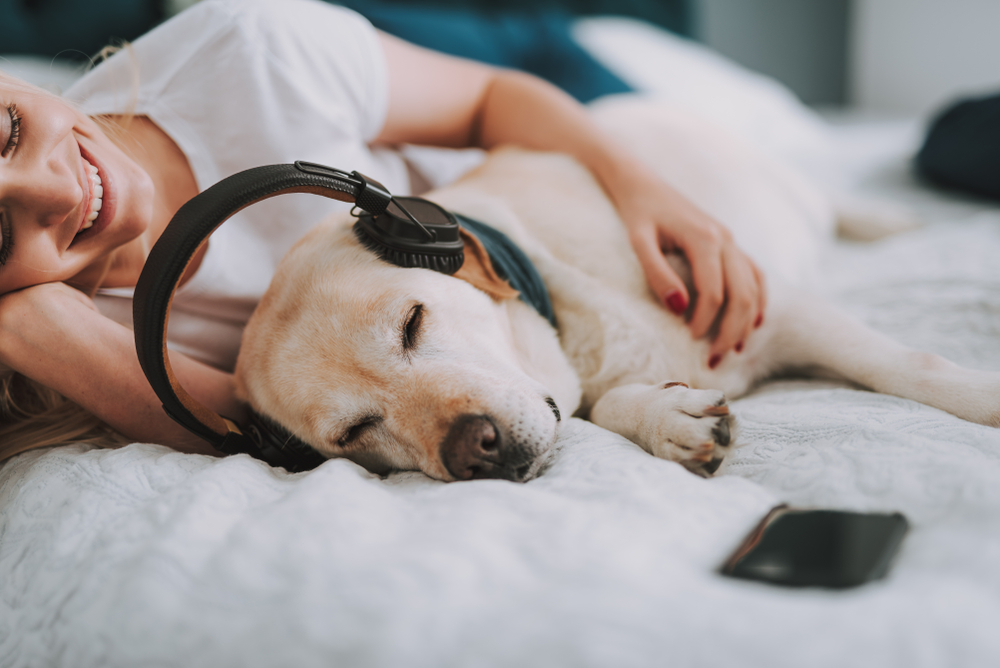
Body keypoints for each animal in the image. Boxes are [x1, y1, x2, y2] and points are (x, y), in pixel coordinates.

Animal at [232, 98, 1000, 480]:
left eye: (412, 322)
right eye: (354, 430)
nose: (473, 449)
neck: (570, 327)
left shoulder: (777, 309)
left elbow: (910, 366)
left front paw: (984, 399)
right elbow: (608, 409)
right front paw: (669, 417)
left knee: (832, 202)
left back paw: (885, 219)